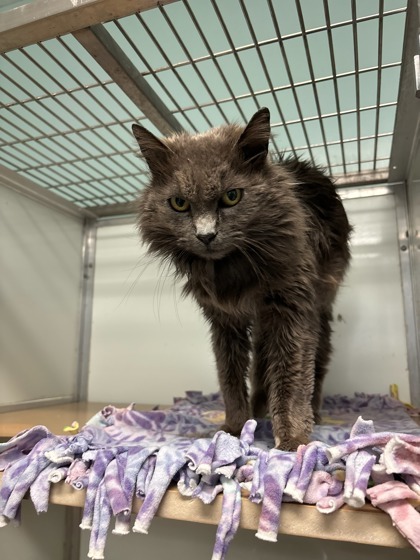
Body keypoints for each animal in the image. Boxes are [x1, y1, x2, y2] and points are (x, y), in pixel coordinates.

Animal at [132, 108, 352, 450]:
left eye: (232, 197)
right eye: (179, 203)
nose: (205, 235)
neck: (232, 269)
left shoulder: (293, 307)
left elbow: (292, 376)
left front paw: (292, 439)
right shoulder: (224, 320)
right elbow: (230, 377)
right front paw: (234, 428)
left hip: (321, 303)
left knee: (317, 362)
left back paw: (312, 413)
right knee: (261, 364)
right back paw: (259, 409)